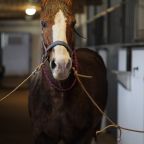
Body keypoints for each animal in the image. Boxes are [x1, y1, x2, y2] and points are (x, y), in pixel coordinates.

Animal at [28, 0, 107, 143]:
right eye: (43, 23)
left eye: (73, 23)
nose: (61, 65)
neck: (59, 94)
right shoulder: (40, 135)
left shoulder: (83, 135)